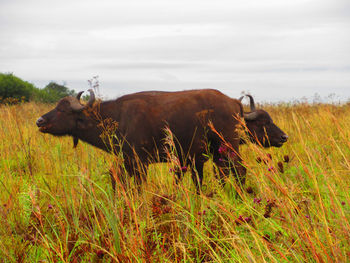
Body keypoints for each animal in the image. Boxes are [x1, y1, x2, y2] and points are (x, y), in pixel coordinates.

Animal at [36, 89, 288, 193]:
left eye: (63, 110)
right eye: (57, 107)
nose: (40, 121)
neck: (118, 117)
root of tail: (235, 104)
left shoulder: (139, 163)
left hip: (228, 149)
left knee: (239, 171)